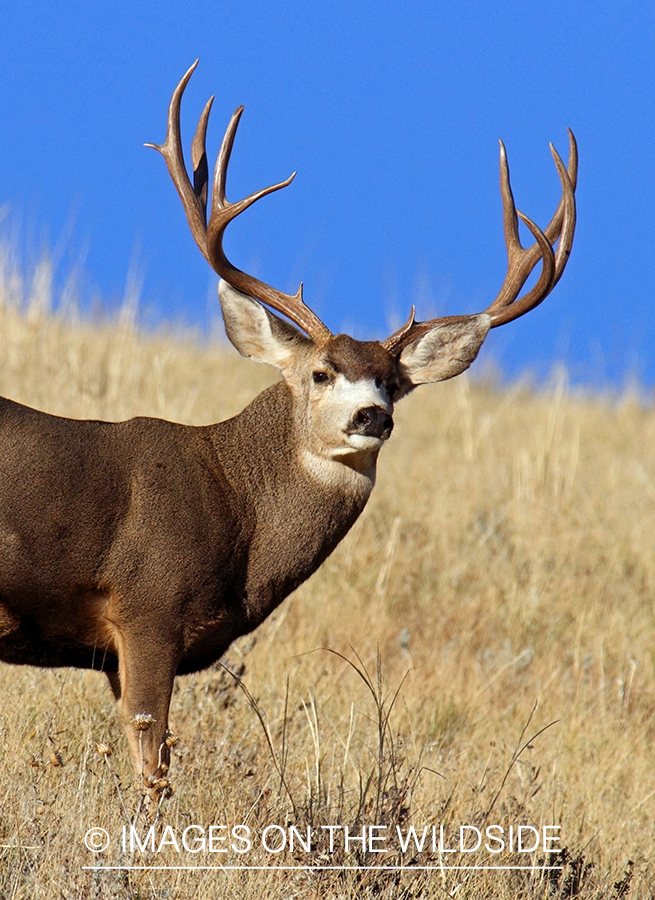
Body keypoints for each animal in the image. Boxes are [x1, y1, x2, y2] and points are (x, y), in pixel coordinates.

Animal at [0, 61, 576, 796]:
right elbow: (153, 764)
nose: (372, 416)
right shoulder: (147, 606)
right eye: (321, 373)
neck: (233, 499)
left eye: (394, 382)